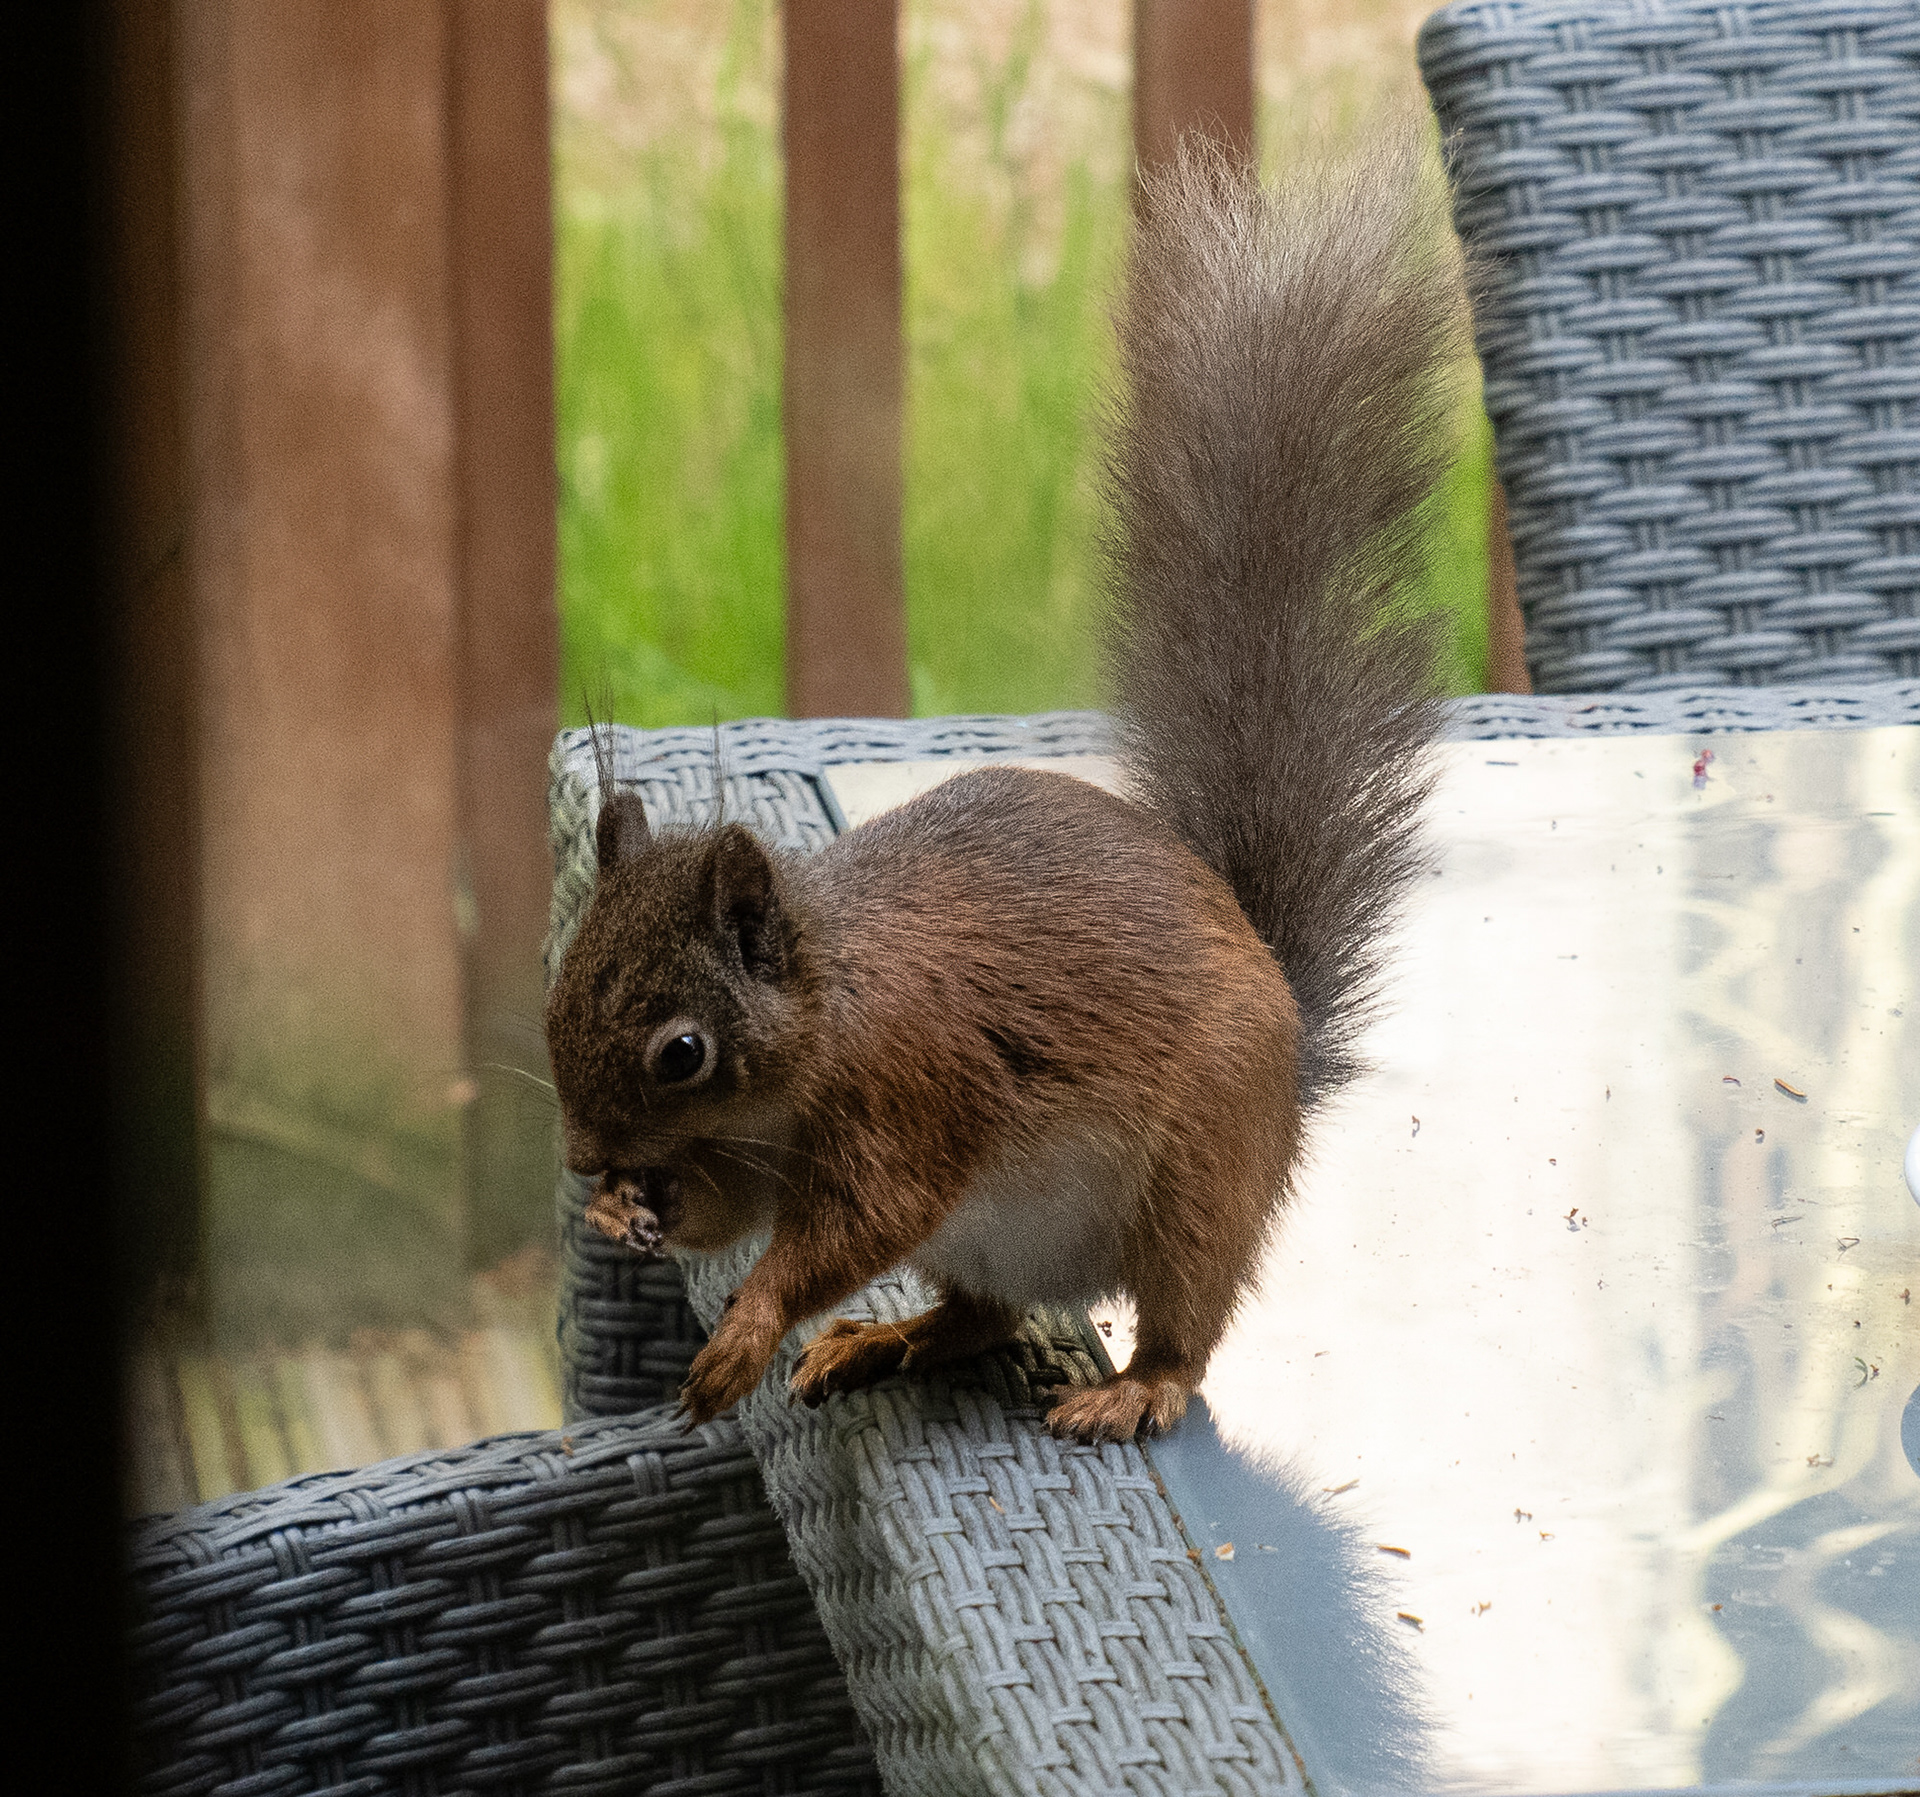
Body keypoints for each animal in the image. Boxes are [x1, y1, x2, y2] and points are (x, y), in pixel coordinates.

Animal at [547, 115, 1470, 1444]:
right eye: (560, 992)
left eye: (684, 1053)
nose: (583, 1157)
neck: (822, 1018)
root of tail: (1292, 1050)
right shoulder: (751, 1158)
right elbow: (730, 1219)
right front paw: (628, 1211)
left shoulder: (911, 1095)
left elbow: (844, 1232)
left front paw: (747, 1333)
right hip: (989, 1241)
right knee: (982, 1317)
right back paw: (891, 1337)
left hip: (1195, 1181)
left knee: (1184, 1319)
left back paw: (1134, 1387)